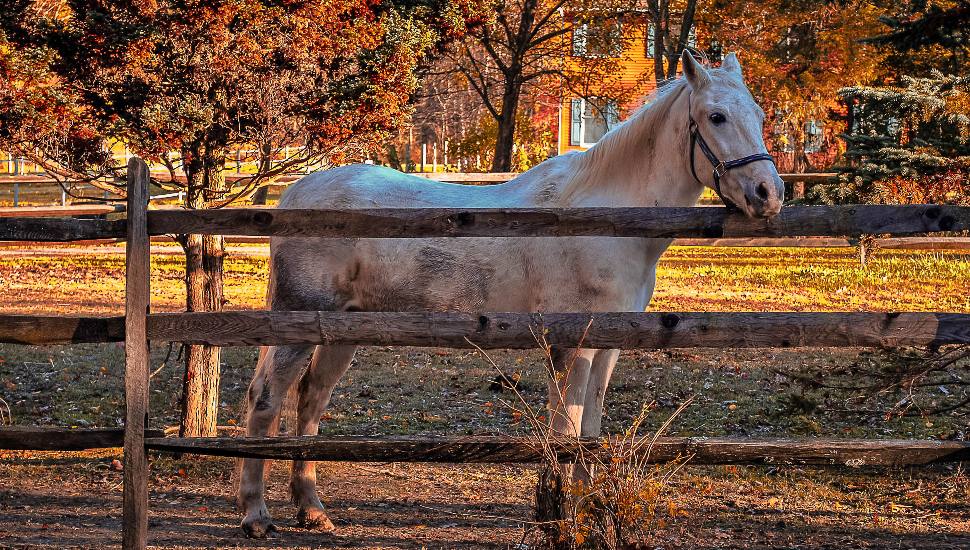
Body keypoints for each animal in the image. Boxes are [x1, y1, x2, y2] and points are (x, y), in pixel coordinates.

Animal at [237, 51, 784, 537]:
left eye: (759, 116)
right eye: (716, 116)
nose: (768, 194)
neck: (607, 218)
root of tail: (295, 195)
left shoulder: (608, 345)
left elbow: (590, 433)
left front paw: (586, 514)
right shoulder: (571, 344)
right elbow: (565, 431)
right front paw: (561, 519)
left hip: (343, 332)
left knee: (311, 400)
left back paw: (312, 511)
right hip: (298, 324)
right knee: (266, 398)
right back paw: (256, 516)